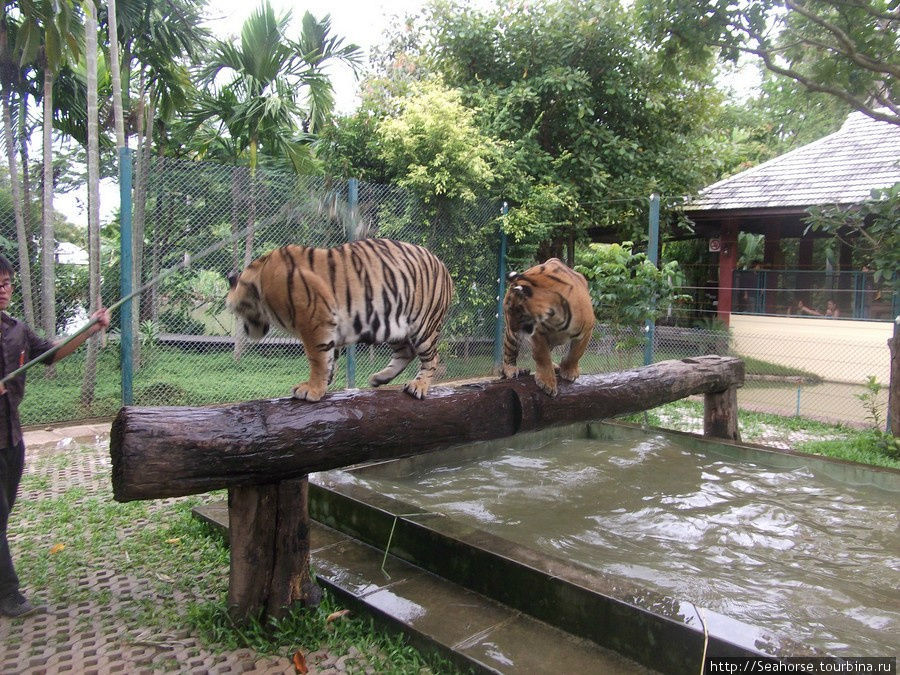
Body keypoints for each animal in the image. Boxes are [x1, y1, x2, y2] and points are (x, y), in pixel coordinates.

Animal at [225, 239, 450, 402]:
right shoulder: (328, 327)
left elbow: (317, 358)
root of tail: (442, 264)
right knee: (406, 352)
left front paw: (311, 390)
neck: (259, 280)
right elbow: (329, 358)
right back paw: (379, 378)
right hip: (393, 325)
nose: (246, 330)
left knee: (432, 358)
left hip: (424, 325)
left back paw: (418, 386)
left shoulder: (314, 321)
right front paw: (323, 385)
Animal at [502, 258, 596, 396]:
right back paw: (512, 370)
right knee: (509, 354)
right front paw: (547, 383)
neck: (555, 316)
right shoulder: (537, 333)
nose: (513, 328)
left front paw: (569, 371)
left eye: (514, 311)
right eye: (508, 311)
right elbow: (542, 355)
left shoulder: (586, 331)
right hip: (511, 338)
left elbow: (576, 352)